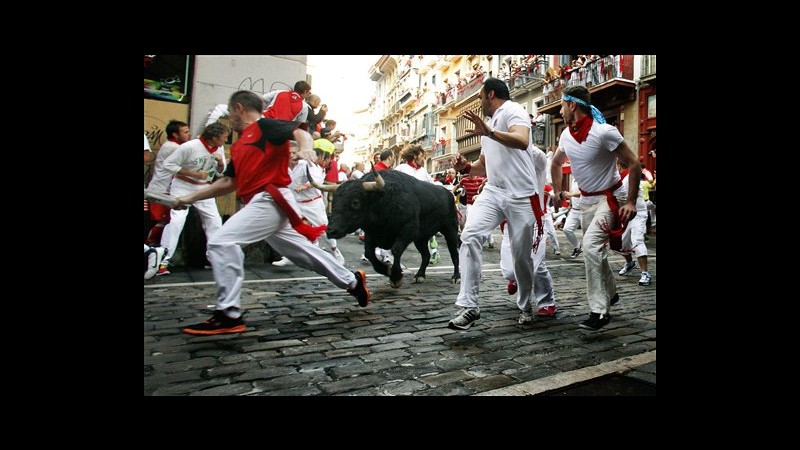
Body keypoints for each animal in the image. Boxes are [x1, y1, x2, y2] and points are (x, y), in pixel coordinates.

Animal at [318, 171, 460, 286]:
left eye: (355, 202)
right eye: (334, 201)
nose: (331, 231)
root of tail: (448, 193)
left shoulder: (408, 231)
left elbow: (396, 250)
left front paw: (396, 277)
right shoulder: (371, 235)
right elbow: (369, 252)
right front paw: (385, 270)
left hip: (450, 229)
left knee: (454, 253)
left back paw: (456, 277)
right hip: (421, 238)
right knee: (426, 255)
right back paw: (419, 275)